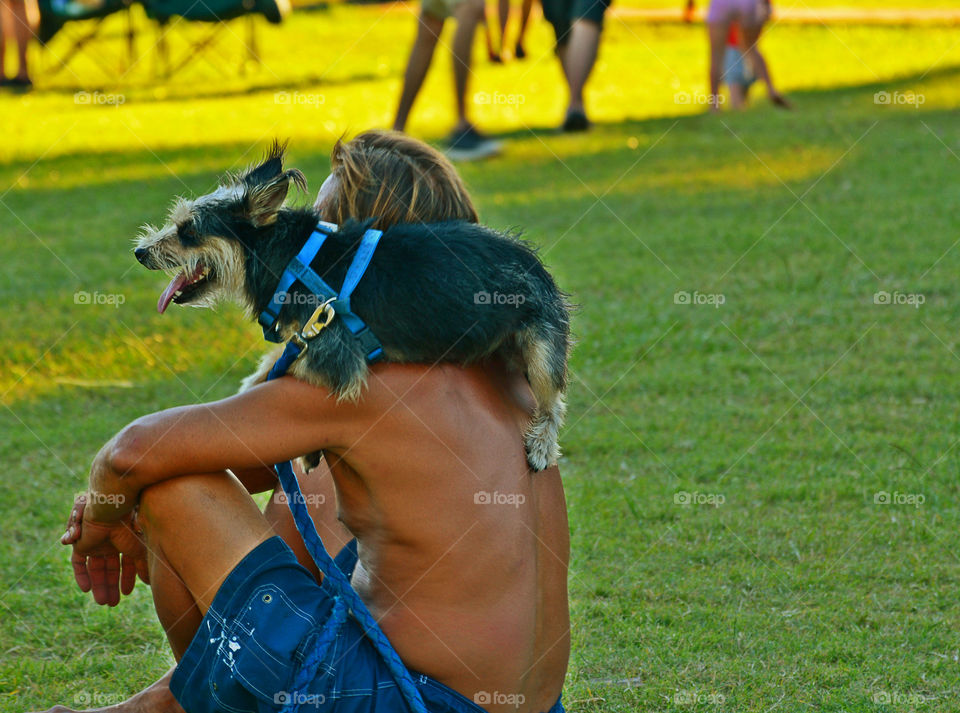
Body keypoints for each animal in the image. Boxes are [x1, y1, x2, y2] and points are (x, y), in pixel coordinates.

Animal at [134, 142, 568, 470]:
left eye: (188, 231)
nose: (140, 252)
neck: (290, 258)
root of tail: (533, 259)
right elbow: (278, 357)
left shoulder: (338, 356)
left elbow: (290, 367)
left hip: (542, 343)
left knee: (552, 401)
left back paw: (542, 444)